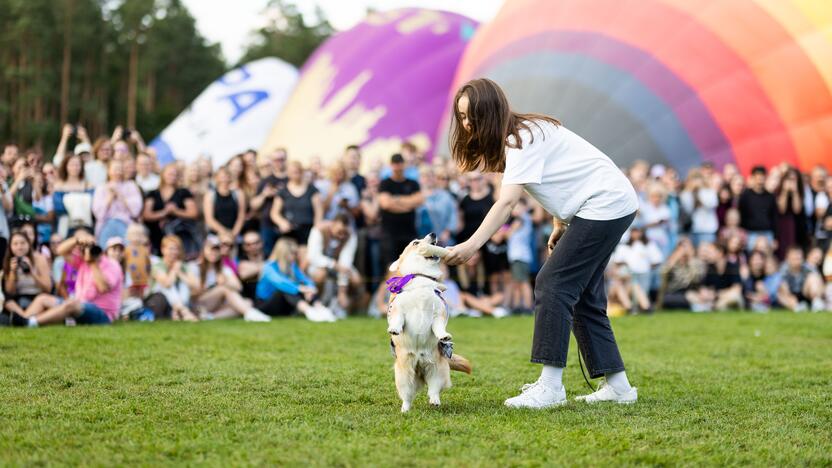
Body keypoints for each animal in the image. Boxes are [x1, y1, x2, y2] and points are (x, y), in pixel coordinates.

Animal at [386, 232, 472, 412]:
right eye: (415, 242)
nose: (433, 234)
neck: (420, 277)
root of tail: (420, 369)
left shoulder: (438, 314)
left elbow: (438, 327)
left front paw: (444, 336)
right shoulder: (398, 309)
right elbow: (397, 319)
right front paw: (394, 329)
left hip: (437, 370)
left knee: (433, 389)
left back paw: (434, 401)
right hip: (404, 377)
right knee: (407, 396)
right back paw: (405, 410)